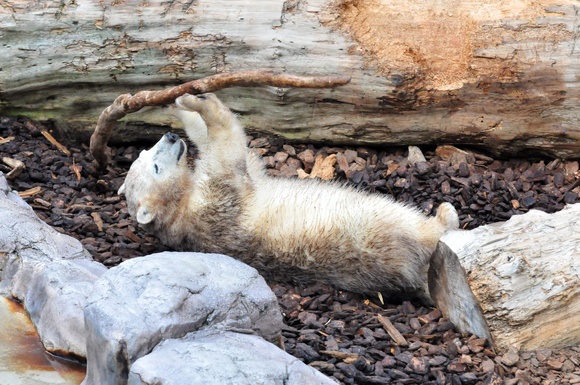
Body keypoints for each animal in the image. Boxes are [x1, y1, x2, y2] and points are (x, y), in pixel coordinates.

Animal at [120, 91, 460, 302]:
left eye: (145, 152)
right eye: (155, 166)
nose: (170, 137)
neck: (180, 209)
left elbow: (241, 155)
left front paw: (177, 105)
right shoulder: (215, 204)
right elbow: (227, 150)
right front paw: (199, 101)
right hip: (376, 234)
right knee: (409, 228)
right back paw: (444, 214)